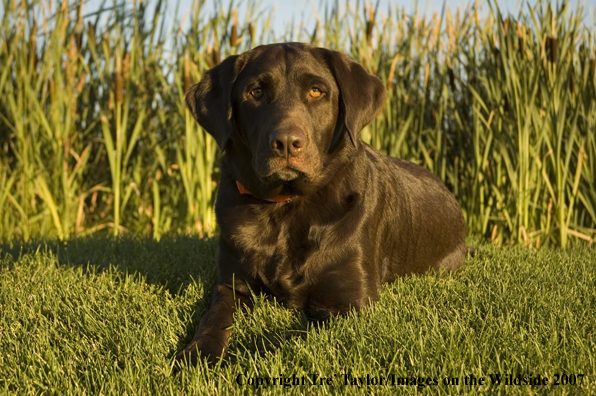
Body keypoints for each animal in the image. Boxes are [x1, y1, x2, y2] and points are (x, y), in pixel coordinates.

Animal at [176, 41, 466, 364]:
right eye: (256, 92)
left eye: (316, 92)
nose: (286, 143)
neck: (285, 208)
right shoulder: (231, 283)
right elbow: (214, 316)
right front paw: (200, 351)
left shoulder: (350, 304)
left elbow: (283, 339)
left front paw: (244, 356)